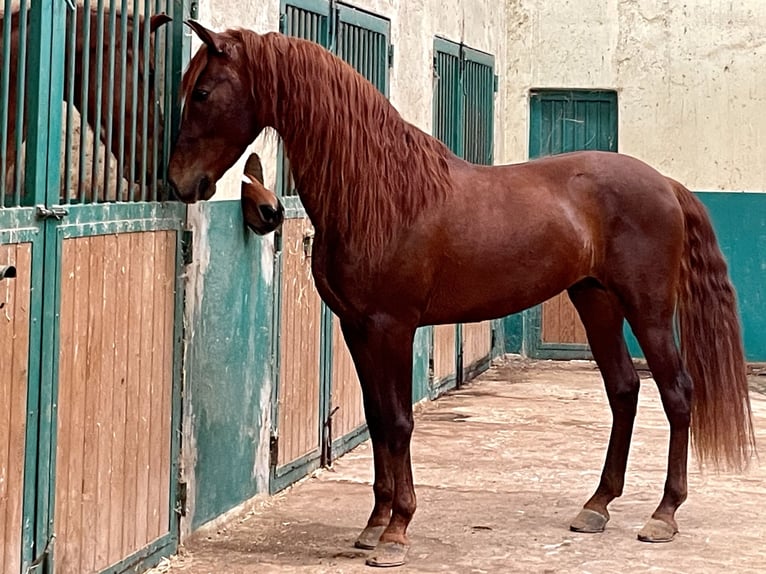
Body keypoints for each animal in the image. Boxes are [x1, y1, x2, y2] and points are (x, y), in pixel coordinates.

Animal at [168, 23, 756, 572]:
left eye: (203, 92)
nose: (180, 182)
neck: (379, 194)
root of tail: (665, 183)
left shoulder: (392, 326)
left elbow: (399, 421)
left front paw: (397, 532)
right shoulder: (357, 328)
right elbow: (377, 419)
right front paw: (373, 524)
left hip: (647, 310)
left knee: (677, 393)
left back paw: (663, 515)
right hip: (596, 302)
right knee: (624, 390)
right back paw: (597, 506)